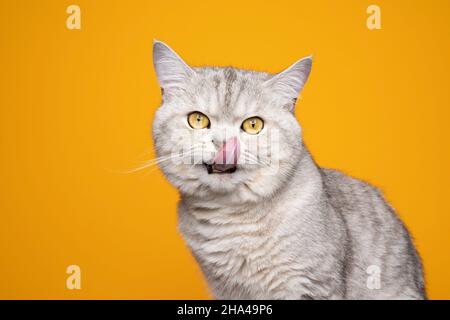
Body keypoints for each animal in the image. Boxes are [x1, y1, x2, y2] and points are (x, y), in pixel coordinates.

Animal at [150, 40, 426, 300]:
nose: (223, 143)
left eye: (253, 125)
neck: (233, 219)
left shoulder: (311, 284)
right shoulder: (225, 289)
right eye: (197, 120)